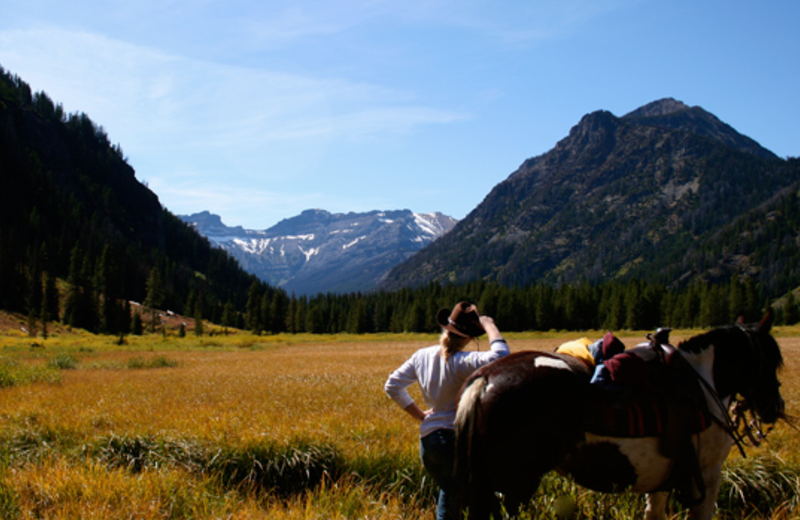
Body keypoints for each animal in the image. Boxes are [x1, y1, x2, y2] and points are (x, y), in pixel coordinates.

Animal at [454, 312, 784, 520]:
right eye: (771, 360)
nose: (775, 407)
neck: (703, 383)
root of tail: (485, 378)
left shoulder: (664, 479)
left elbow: (654, 513)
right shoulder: (707, 473)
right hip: (516, 482)